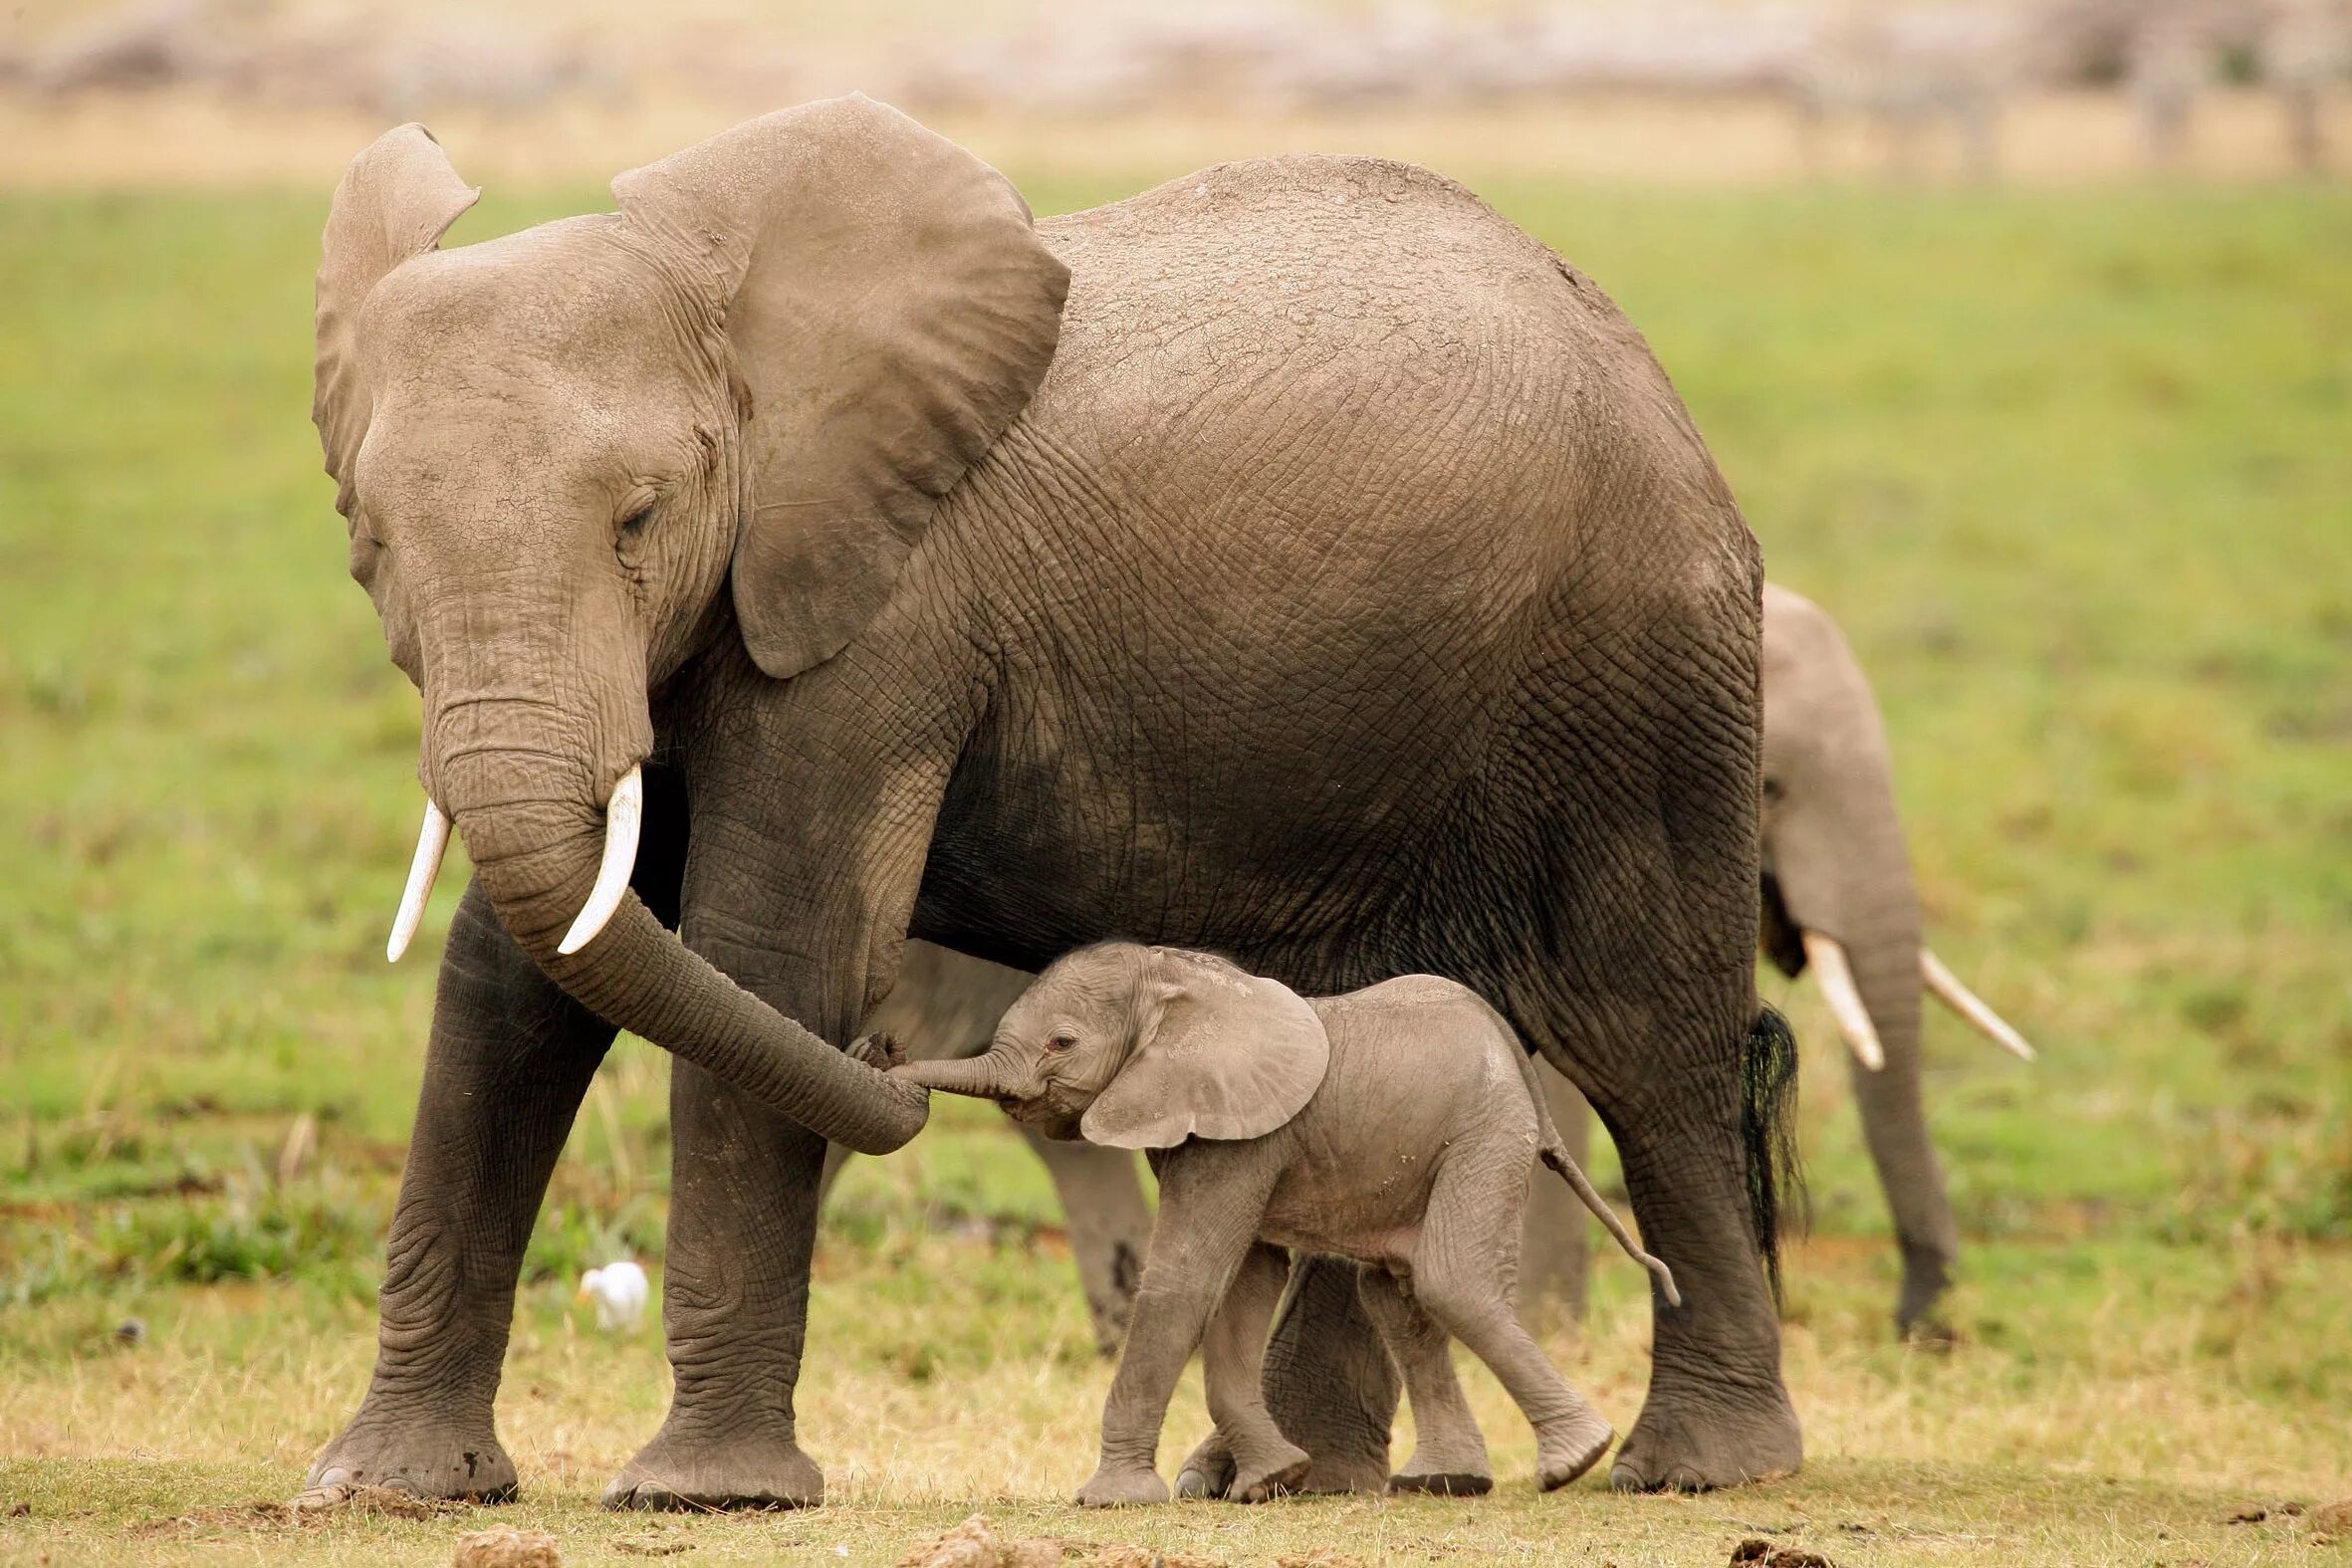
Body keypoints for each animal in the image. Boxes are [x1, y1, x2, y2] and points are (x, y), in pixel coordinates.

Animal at [884, 940, 1674, 1504]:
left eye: (1061, 1043)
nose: (882, 1050)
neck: (1176, 977)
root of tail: (1512, 1048)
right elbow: (1245, 1281)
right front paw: (1273, 1479)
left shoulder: (1240, 1133)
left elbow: (1190, 1277)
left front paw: (1112, 1499)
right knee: (1396, 1296)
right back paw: (1445, 1482)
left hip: (1485, 1131)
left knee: (1450, 1280)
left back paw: (1577, 1459)